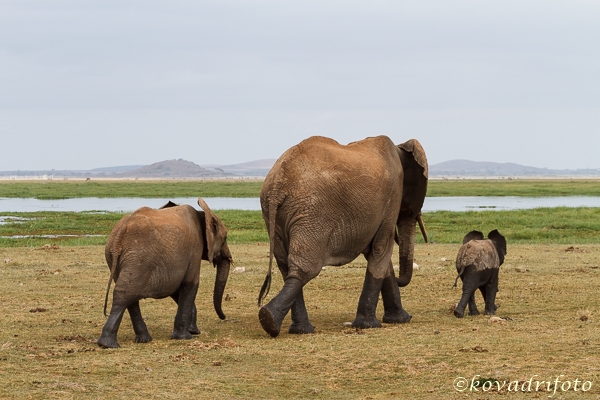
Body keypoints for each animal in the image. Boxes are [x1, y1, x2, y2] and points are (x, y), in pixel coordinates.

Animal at [97, 198, 231, 348]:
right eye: (225, 237)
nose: (224, 317)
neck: (203, 214)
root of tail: (120, 234)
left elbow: (176, 288)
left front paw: (193, 331)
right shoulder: (195, 249)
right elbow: (190, 283)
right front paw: (185, 337)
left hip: (114, 256)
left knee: (128, 295)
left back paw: (140, 340)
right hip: (138, 257)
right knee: (125, 294)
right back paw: (108, 344)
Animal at [255, 136, 428, 336]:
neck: (400, 149)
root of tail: (277, 185)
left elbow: (376, 254)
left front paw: (400, 319)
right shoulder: (393, 196)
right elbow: (381, 248)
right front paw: (369, 325)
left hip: (274, 214)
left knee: (286, 267)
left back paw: (294, 327)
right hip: (312, 214)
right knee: (305, 269)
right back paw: (272, 321)